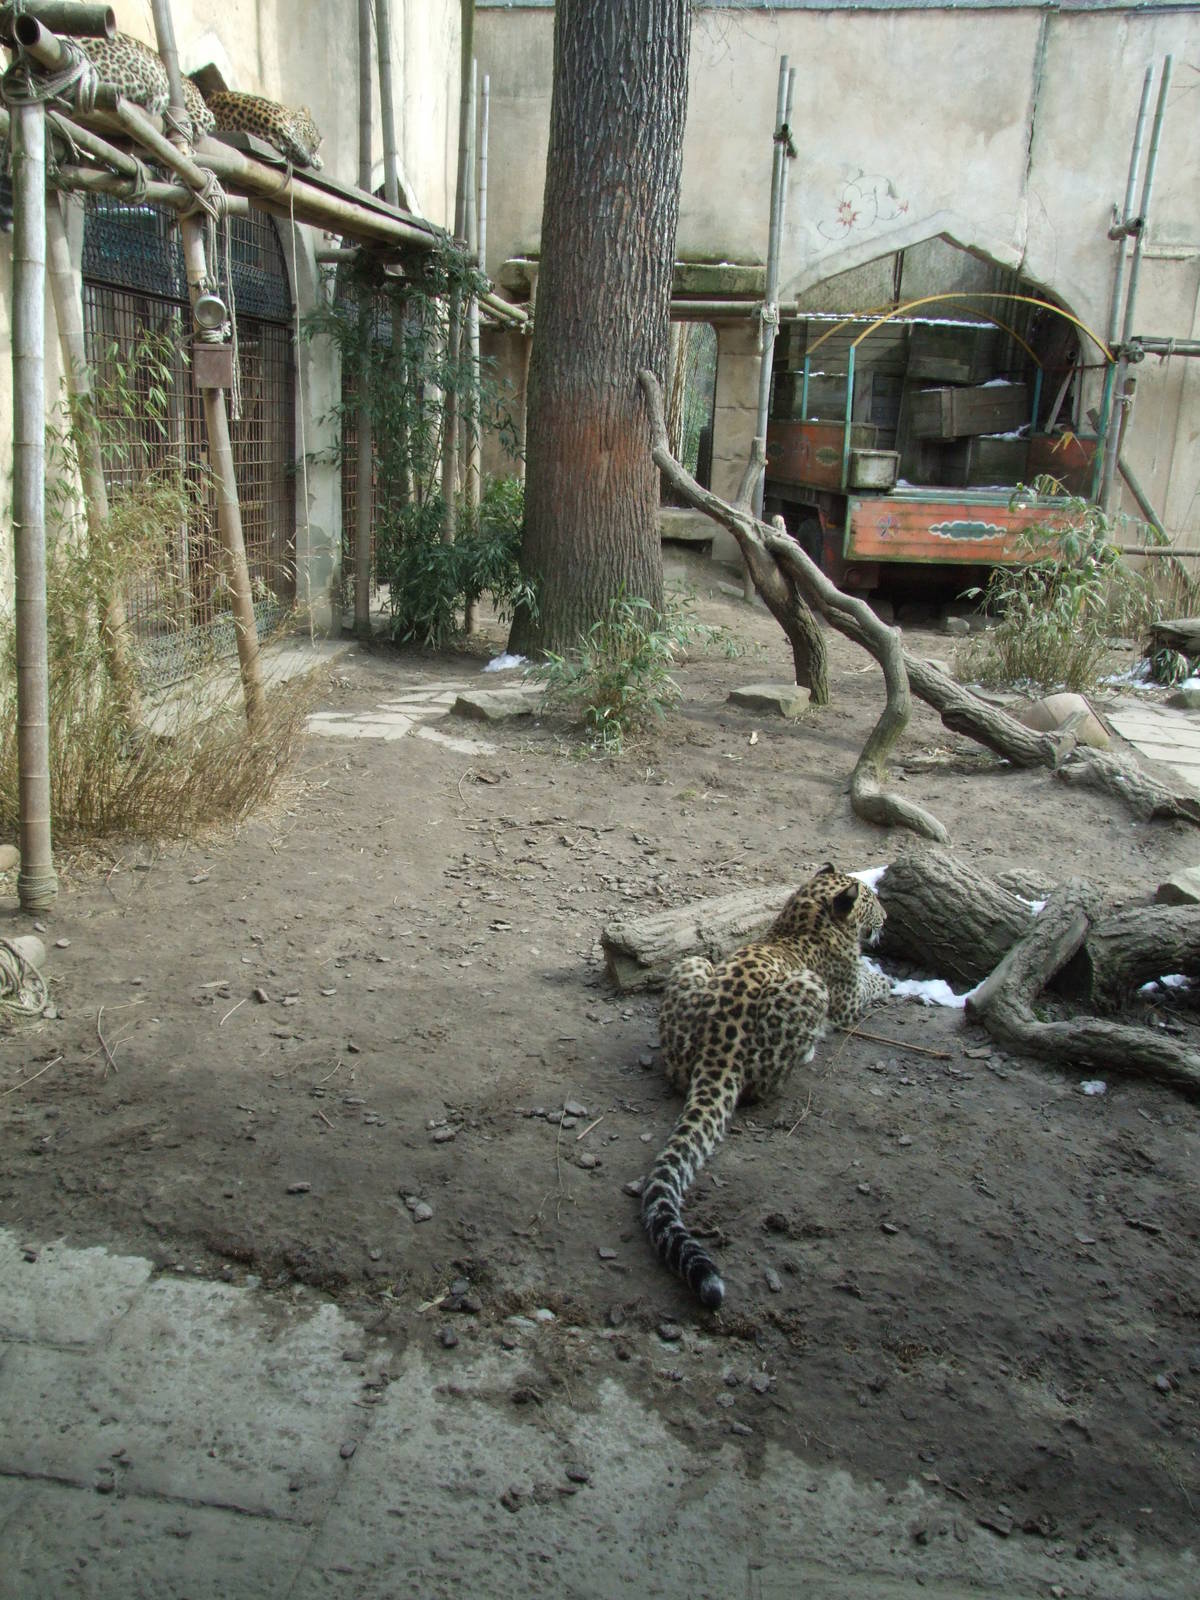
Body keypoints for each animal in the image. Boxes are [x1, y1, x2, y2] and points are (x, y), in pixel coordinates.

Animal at [641, 864, 890, 1311]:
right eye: (871, 900)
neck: (805, 918)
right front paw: (887, 977)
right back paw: (807, 1053)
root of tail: (717, 1049)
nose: (888, 917)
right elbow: (870, 982)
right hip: (811, 989)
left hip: (692, 965)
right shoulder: (845, 998)